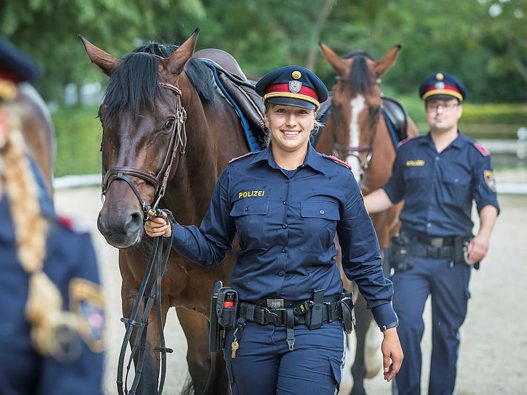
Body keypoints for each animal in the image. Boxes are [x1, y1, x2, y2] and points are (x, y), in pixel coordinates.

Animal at [316, 43, 418, 395]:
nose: (351, 170)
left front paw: (362, 372)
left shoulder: (380, 234)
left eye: (374, 111)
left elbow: (364, 307)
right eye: (337, 106)